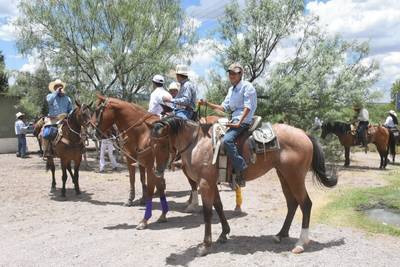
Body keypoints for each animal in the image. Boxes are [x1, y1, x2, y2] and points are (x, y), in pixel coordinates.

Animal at [151, 116, 338, 255]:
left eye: (162, 143)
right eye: (151, 144)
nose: (157, 171)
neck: (198, 143)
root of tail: (304, 134)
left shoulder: (205, 184)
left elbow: (208, 213)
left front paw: (205, 245)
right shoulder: (211, 182)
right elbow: (218, 206)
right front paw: (224, 234)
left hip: (295, 177)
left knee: (305, 204)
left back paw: (300, 243)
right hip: (284, 175)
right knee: (292, 203)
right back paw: (280, 235)